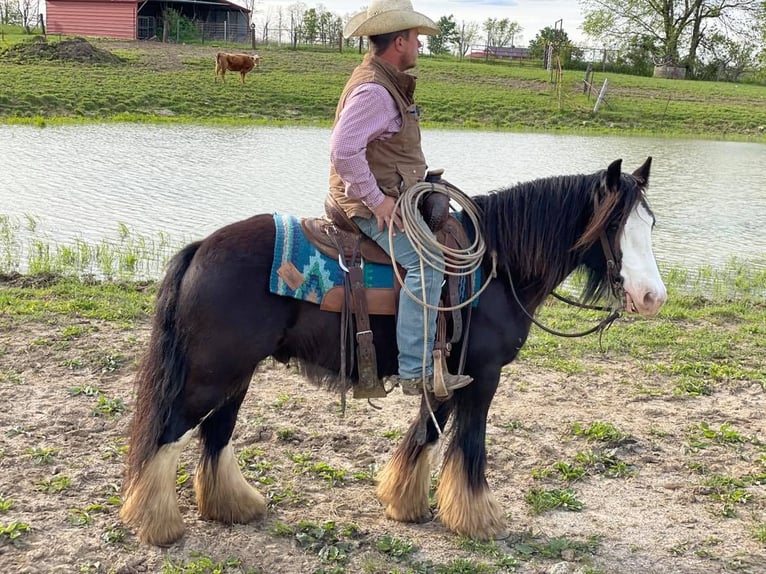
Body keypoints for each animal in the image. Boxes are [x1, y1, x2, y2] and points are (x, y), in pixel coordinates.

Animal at [118, 159, 664, 548]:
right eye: (614, 225)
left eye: (650, 225)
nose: (652, 297)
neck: (496, 268)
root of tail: (201, 247)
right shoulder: (483, 376)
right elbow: (469, 446)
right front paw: (478, 519)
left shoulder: (448, 375)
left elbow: (425, 433)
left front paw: (404, 503)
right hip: (211, 375)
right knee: (166, 435)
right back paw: (157, 524)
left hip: (236, 375)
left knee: (215, 434)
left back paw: (232, 507)